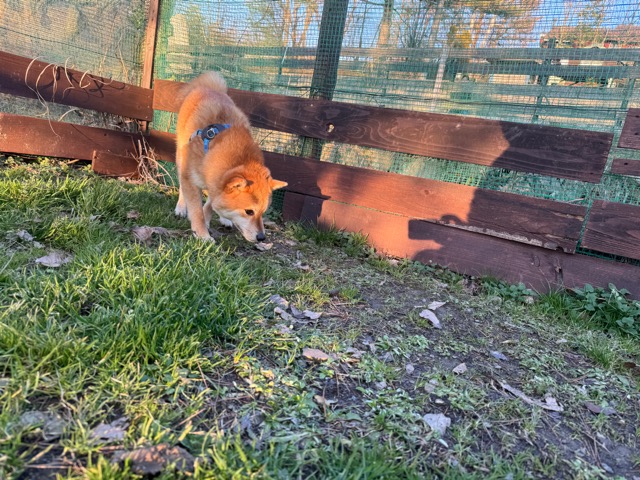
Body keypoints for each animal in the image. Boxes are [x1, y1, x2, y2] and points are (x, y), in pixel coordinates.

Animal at [174, 71, 287, 242]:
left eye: (263, 211)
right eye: (249, 211)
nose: (261, 237)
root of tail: (209, 88)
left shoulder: (216, 184)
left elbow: (210, 205)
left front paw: (210, 220)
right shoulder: (193, 179)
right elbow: (197, 211)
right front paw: (202, 235)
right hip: (181, 157)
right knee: (181, 184)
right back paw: (181, 208)